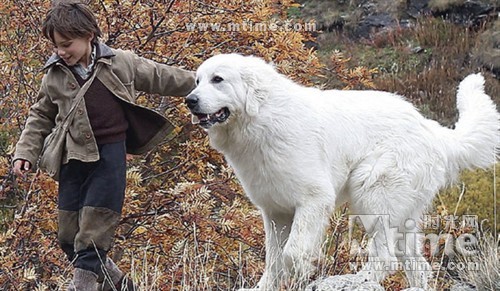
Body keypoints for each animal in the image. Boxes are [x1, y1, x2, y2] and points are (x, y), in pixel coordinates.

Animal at [186, 54, 498, 290]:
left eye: (218, 79)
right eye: (197, 80)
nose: (190, 100)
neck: (261, 118)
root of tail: (430, 128)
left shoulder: (313, 200)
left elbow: (292, 254)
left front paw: (301, 277)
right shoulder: (275, 212)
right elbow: (273, 261)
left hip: (373, 195)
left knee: (386, 256)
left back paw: (361, 280)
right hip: (403, 215)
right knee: (417, 265)